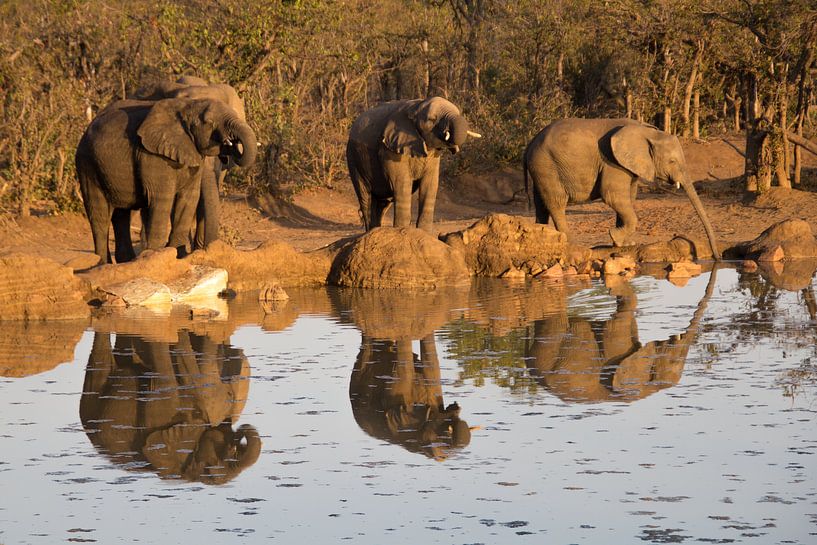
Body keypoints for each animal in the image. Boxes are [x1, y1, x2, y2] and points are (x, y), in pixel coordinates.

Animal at [76, 96, 257, 263]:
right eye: (207, 122)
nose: (230, 142)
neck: (187, 106)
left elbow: (188, 199)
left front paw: (180, 255)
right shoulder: (152, 156)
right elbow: (161, 200)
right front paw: (155, 257)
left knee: (121, 214)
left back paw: (126, 261)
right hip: (87, 164)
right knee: (99, 216)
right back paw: (101, 264)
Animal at [346, 96, 481, 232]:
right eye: (432, 119)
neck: (416, 107)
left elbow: (430, 183)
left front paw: (424, 232)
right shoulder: (390, 148)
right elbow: (402, 182)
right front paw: (402, 231)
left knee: (383, 203)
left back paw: (376, 230)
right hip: (353, 157)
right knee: (366, 197)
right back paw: (371, 230)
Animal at [523, 118, 721, 259]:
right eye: (672, 161)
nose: (717, 257)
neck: (648, 132)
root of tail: (529, 143)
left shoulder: (627, 164)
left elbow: (629, 196)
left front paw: (624, 244)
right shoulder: (611, 160)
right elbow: (613, 196)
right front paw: (616, 237)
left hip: (541, 167)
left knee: (541, 204)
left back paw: (542, 237)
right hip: (546, 165)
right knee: (556, 203)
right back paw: (571, 243)